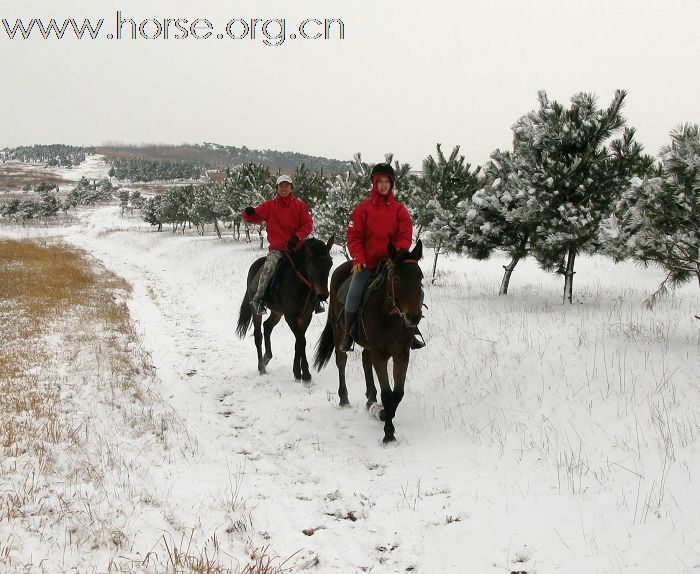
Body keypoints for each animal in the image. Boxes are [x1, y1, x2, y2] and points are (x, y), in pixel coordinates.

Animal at [235, 238, 334, 382]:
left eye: (330, 264)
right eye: (312, 263)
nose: (323, 295)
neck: (299, 285)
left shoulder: (305, 317)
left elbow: (299, 341)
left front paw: (298, 373)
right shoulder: (290, 317)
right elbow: (301, 341)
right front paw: (306, 375)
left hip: (277, 312)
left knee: (267, 326)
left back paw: (267, 357)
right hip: (256, 310)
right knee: (258, 335)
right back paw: (261, 368)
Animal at [314, 241, 424, 444]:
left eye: (420, 277)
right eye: (397, 277)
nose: (413, 317)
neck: (390, 316)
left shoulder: (401, 354)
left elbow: (398, 393)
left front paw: (382, 413)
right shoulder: (380, 355)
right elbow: (387, 394)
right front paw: (388, 432)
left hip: (368, 344)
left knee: (365, 360)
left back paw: (371, 399)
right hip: (339, 332)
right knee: (341, 361)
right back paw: (344, 398)